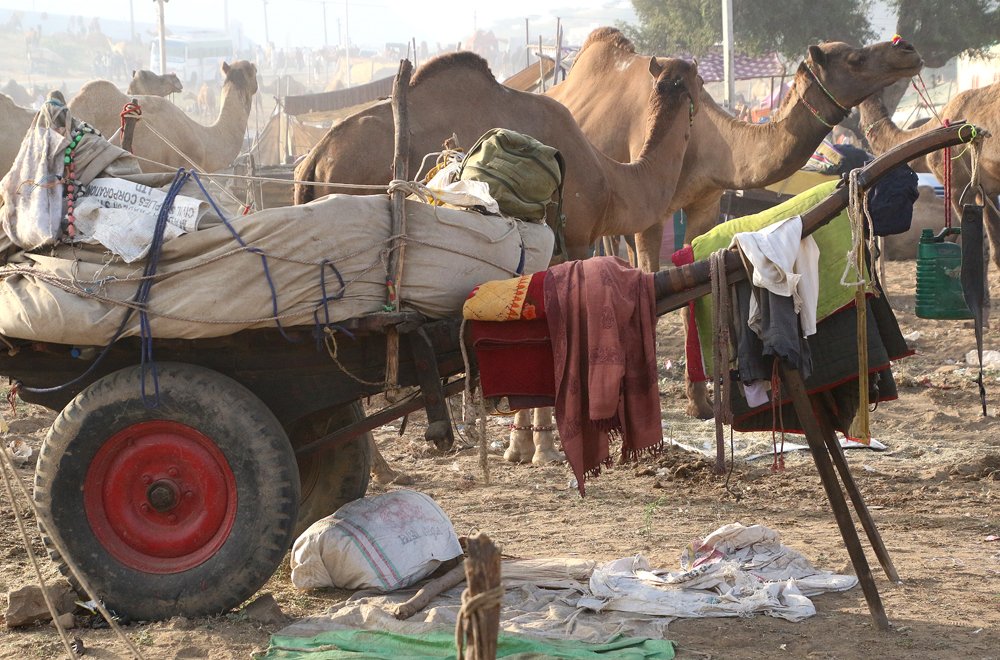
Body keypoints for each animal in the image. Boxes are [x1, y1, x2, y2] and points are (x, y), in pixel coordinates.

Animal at [548, 29, 920, 418]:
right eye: (854, 59)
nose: (907, 50)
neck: (704, 140)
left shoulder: (705, 205)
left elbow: (693, 295)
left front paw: (700, 403)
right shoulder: (651, 213)